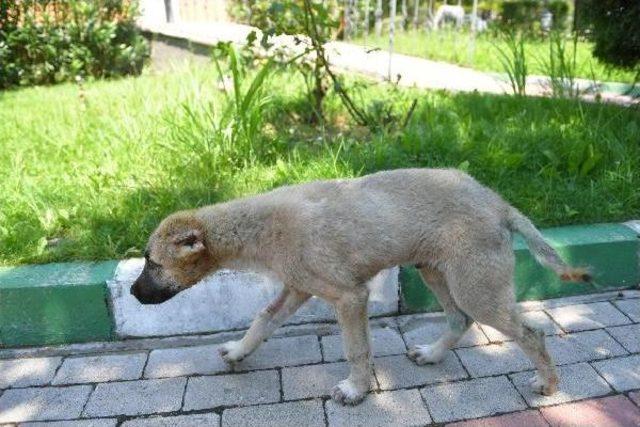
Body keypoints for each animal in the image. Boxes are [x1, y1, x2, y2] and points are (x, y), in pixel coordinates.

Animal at [130, 169, 592, 406]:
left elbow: (356, 350)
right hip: (435, 272)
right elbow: (262, 320)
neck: (258, 230)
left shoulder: (349, 297)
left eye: (153, 263)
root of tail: (499, 203)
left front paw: (356, 390)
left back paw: (549, 385)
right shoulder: (297, 288)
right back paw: (433, 354)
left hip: (477, 288)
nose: (133, 294)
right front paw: (240, 351)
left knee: (531, 334)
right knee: (458, 320)